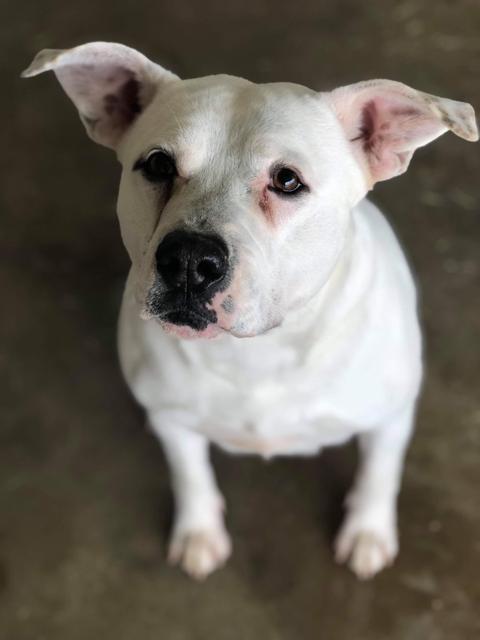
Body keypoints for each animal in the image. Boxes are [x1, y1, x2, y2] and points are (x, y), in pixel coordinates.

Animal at [22, 40, 476, 580]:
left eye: (288, 180)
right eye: (157, 165)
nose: (189, 259)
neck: (256, 353)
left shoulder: (390, 418)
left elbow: (379, 473)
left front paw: (367, 531)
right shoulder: (173, 419)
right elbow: (189, 473)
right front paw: (198, 532)